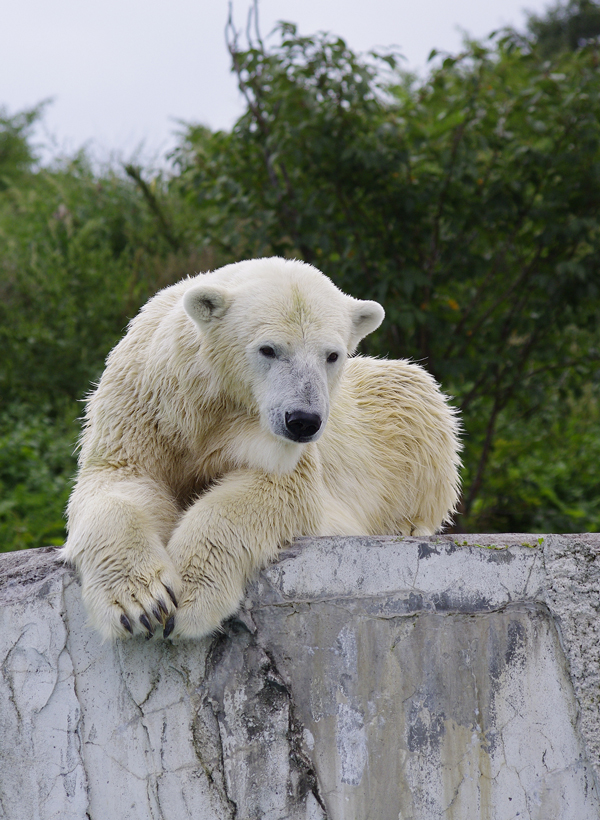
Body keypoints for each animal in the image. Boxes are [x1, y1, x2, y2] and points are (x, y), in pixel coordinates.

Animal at [63, 260, 462, 644]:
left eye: (332, 355)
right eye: (269, 349)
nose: (303, 420)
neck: (211, 402)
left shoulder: (273, 446)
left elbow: (274, 490)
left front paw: (191, 599)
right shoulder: (147, 405)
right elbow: (119, 479)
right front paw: (142, 603)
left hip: (391, 414)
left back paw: (408, 524)